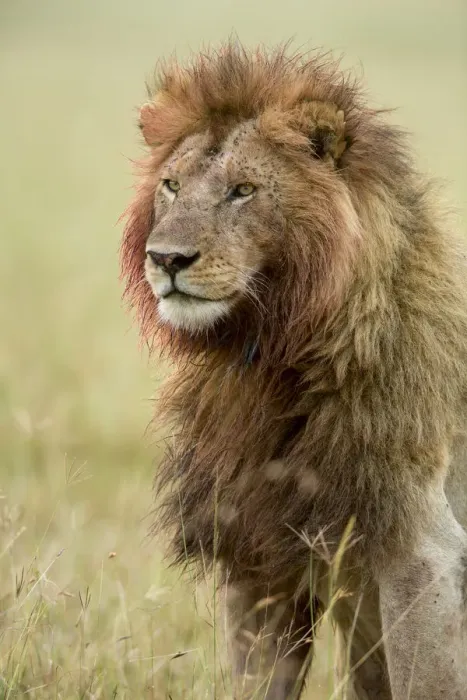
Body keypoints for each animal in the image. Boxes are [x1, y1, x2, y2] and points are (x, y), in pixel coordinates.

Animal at [120, 44, 467, 699]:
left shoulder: (423, 554)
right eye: (172, 185)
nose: (166, 259)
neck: (270, 358)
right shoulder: (259, 558)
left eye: (243, 190)